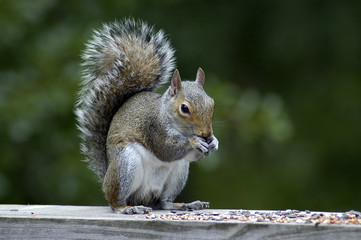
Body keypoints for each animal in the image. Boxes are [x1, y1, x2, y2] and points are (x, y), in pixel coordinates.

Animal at [74, 18, 218, 214]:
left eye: (212, 103)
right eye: (184, 108)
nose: (207, 134)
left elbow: (190, 156)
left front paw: (214, 142)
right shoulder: (154, 127)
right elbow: (166, 150)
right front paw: (195, 142)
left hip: (178, 172)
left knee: (163, 202)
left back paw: (183, 204)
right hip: (126, 164)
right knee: (115, 200)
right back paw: (125, 208)